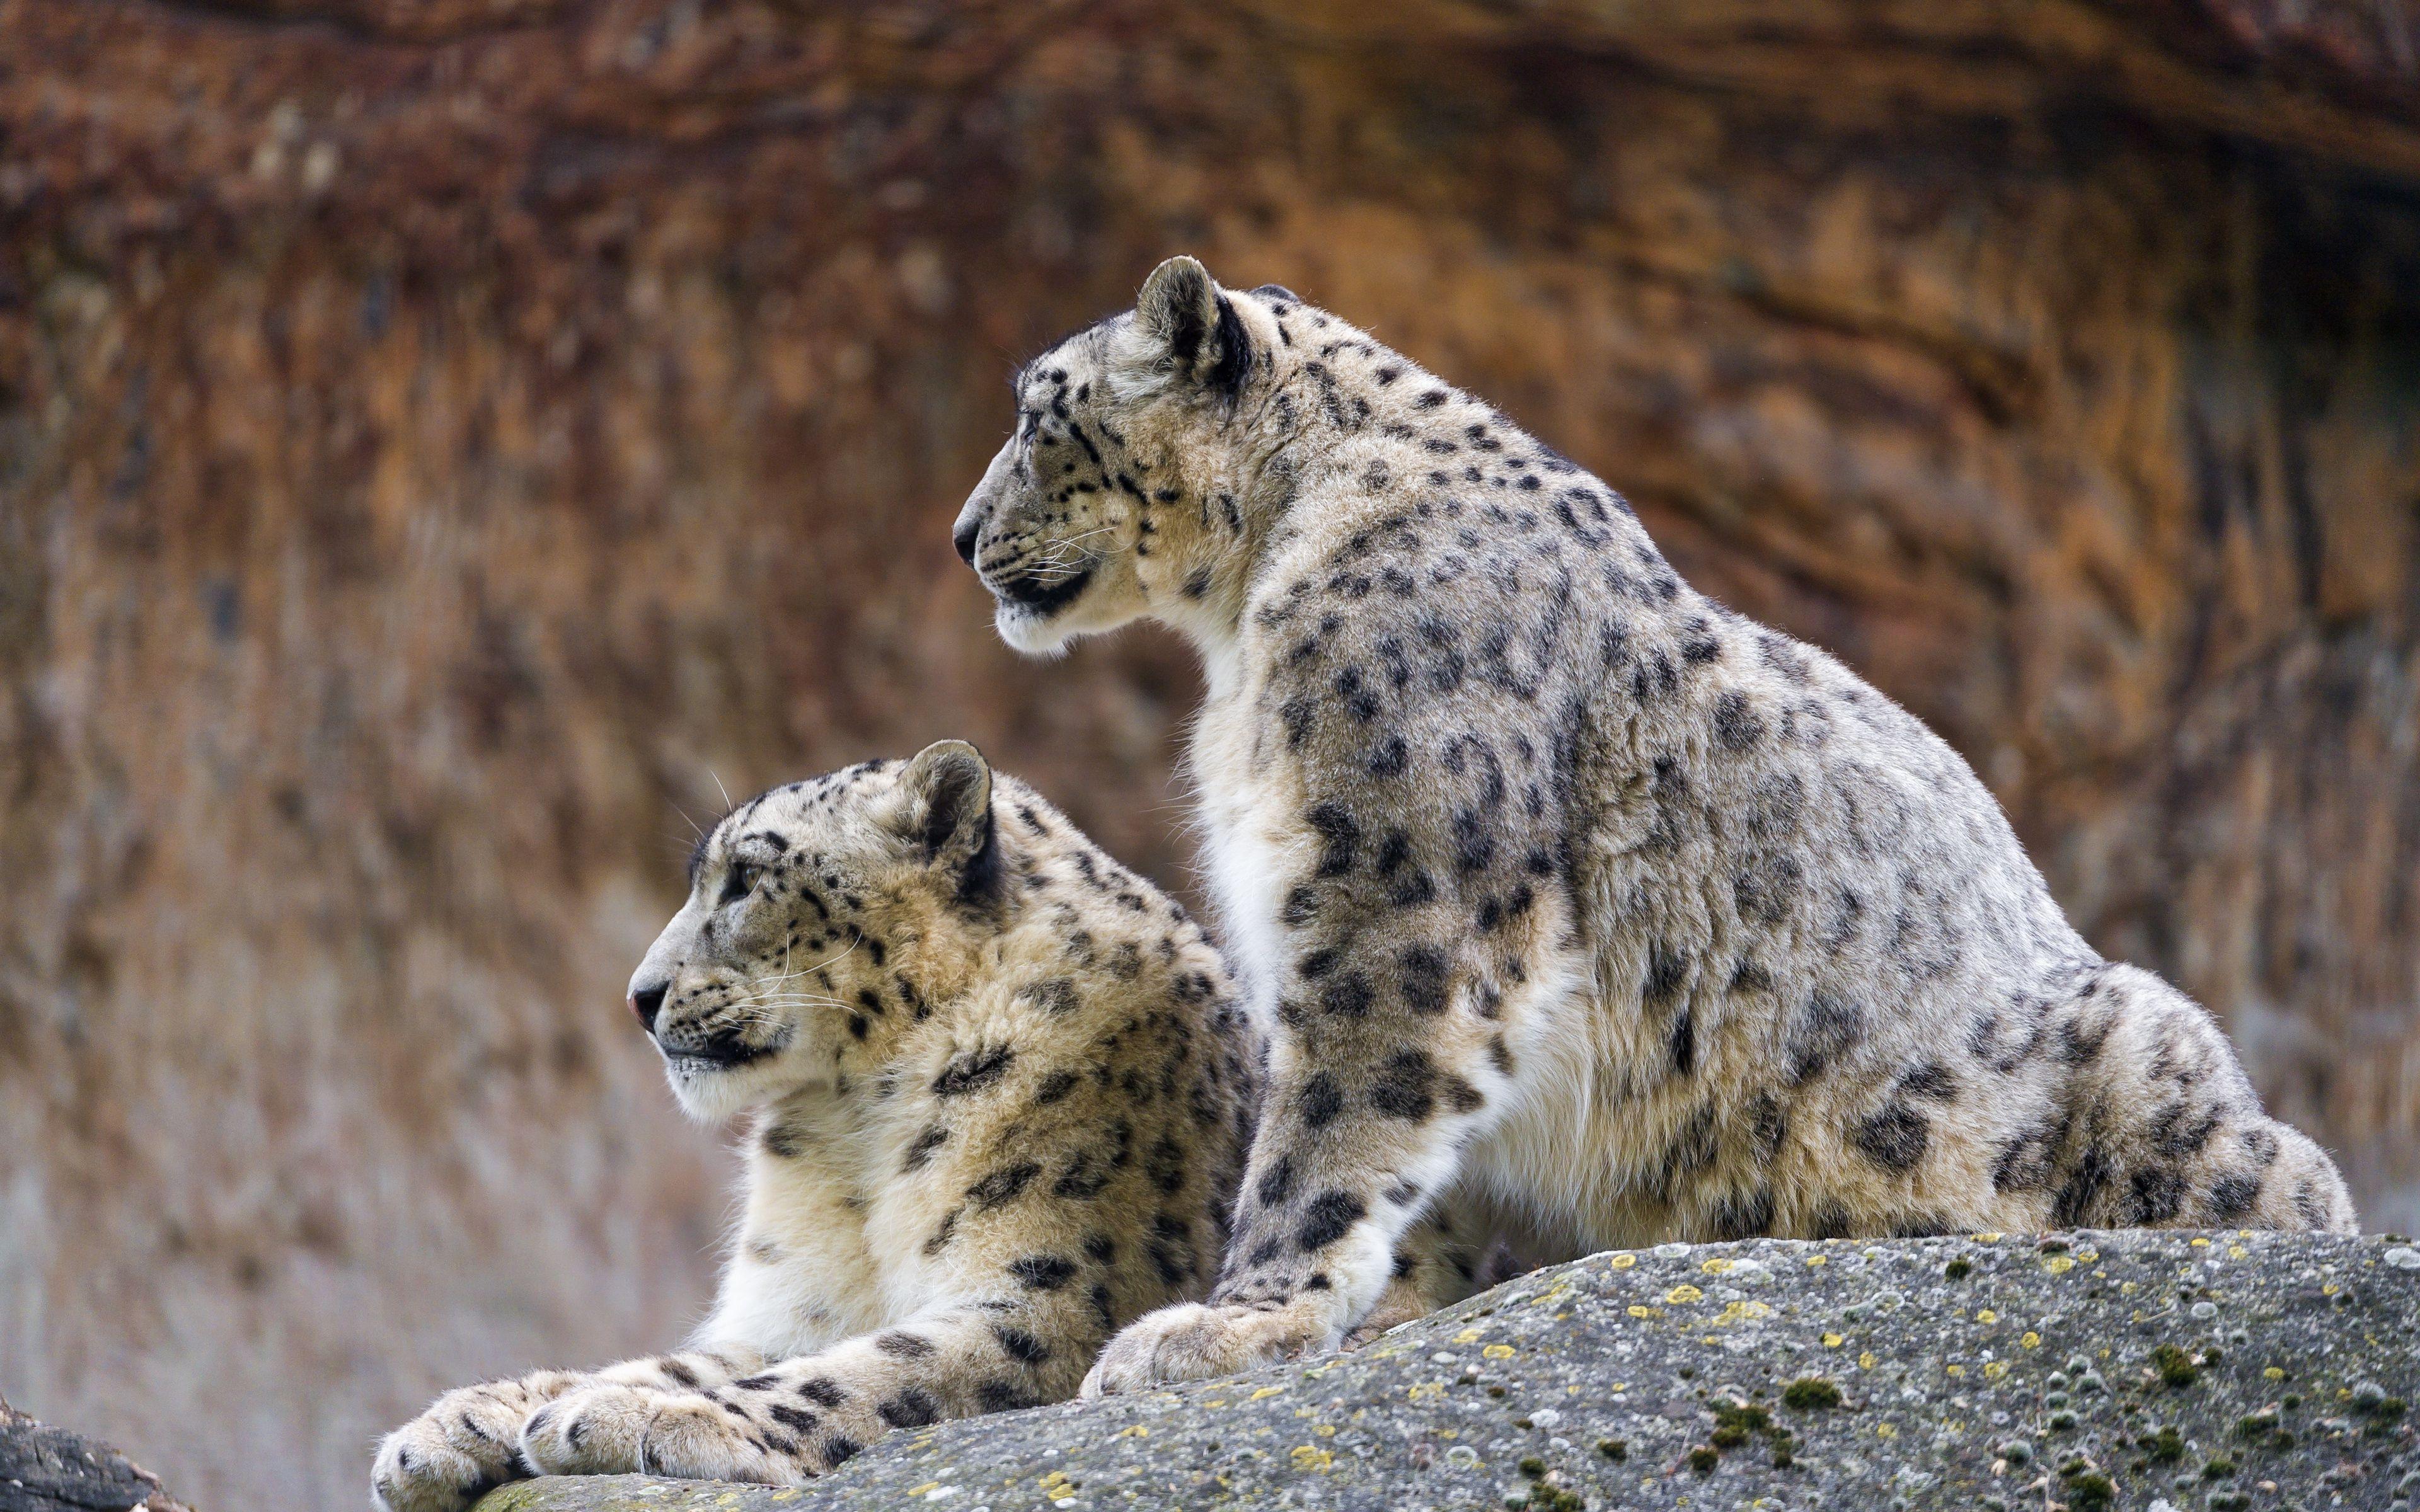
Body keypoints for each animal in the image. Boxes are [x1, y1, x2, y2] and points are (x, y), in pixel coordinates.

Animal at [370, 741, 1259, 1508]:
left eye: (745, 880)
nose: (638, 997)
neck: (858, 1132)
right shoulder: (796, 1311)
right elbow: (690, 1361)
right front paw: (460, 1423)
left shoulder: (1054, 1297)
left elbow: (862, 1372)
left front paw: (633, 1416)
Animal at [948, 256, 2358, 1397]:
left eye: (1036, 412)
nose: (962, 536)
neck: (1245, 624)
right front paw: (1394, 1306)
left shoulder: (1394, 891)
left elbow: (1332, 1129)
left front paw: (1225, 1328)